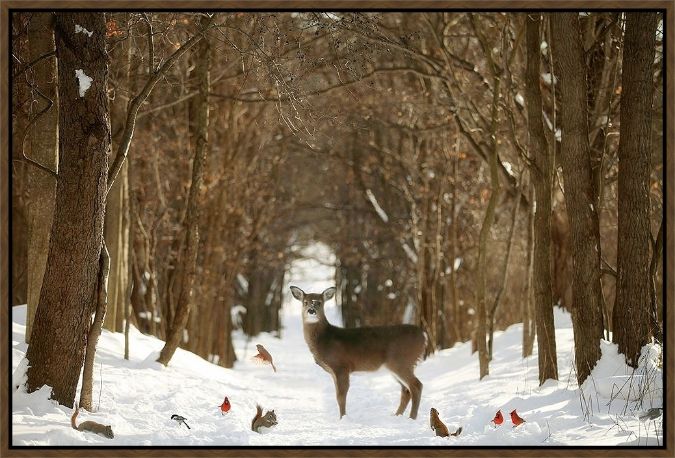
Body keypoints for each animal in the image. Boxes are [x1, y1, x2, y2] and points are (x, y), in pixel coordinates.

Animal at [292, 284, 428, 420]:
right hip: (398, 365)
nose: (311, 310)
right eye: (305, 302)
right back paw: (396, 415)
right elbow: (338, 395)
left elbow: (340, 396)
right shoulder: (334, 371)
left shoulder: (341, 366)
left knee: (416, 386)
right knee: (406, 390)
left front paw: (343, 418)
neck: (325, 340)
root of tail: (424, 336)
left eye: (319, 303)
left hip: (402, 361)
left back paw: (412, 418)